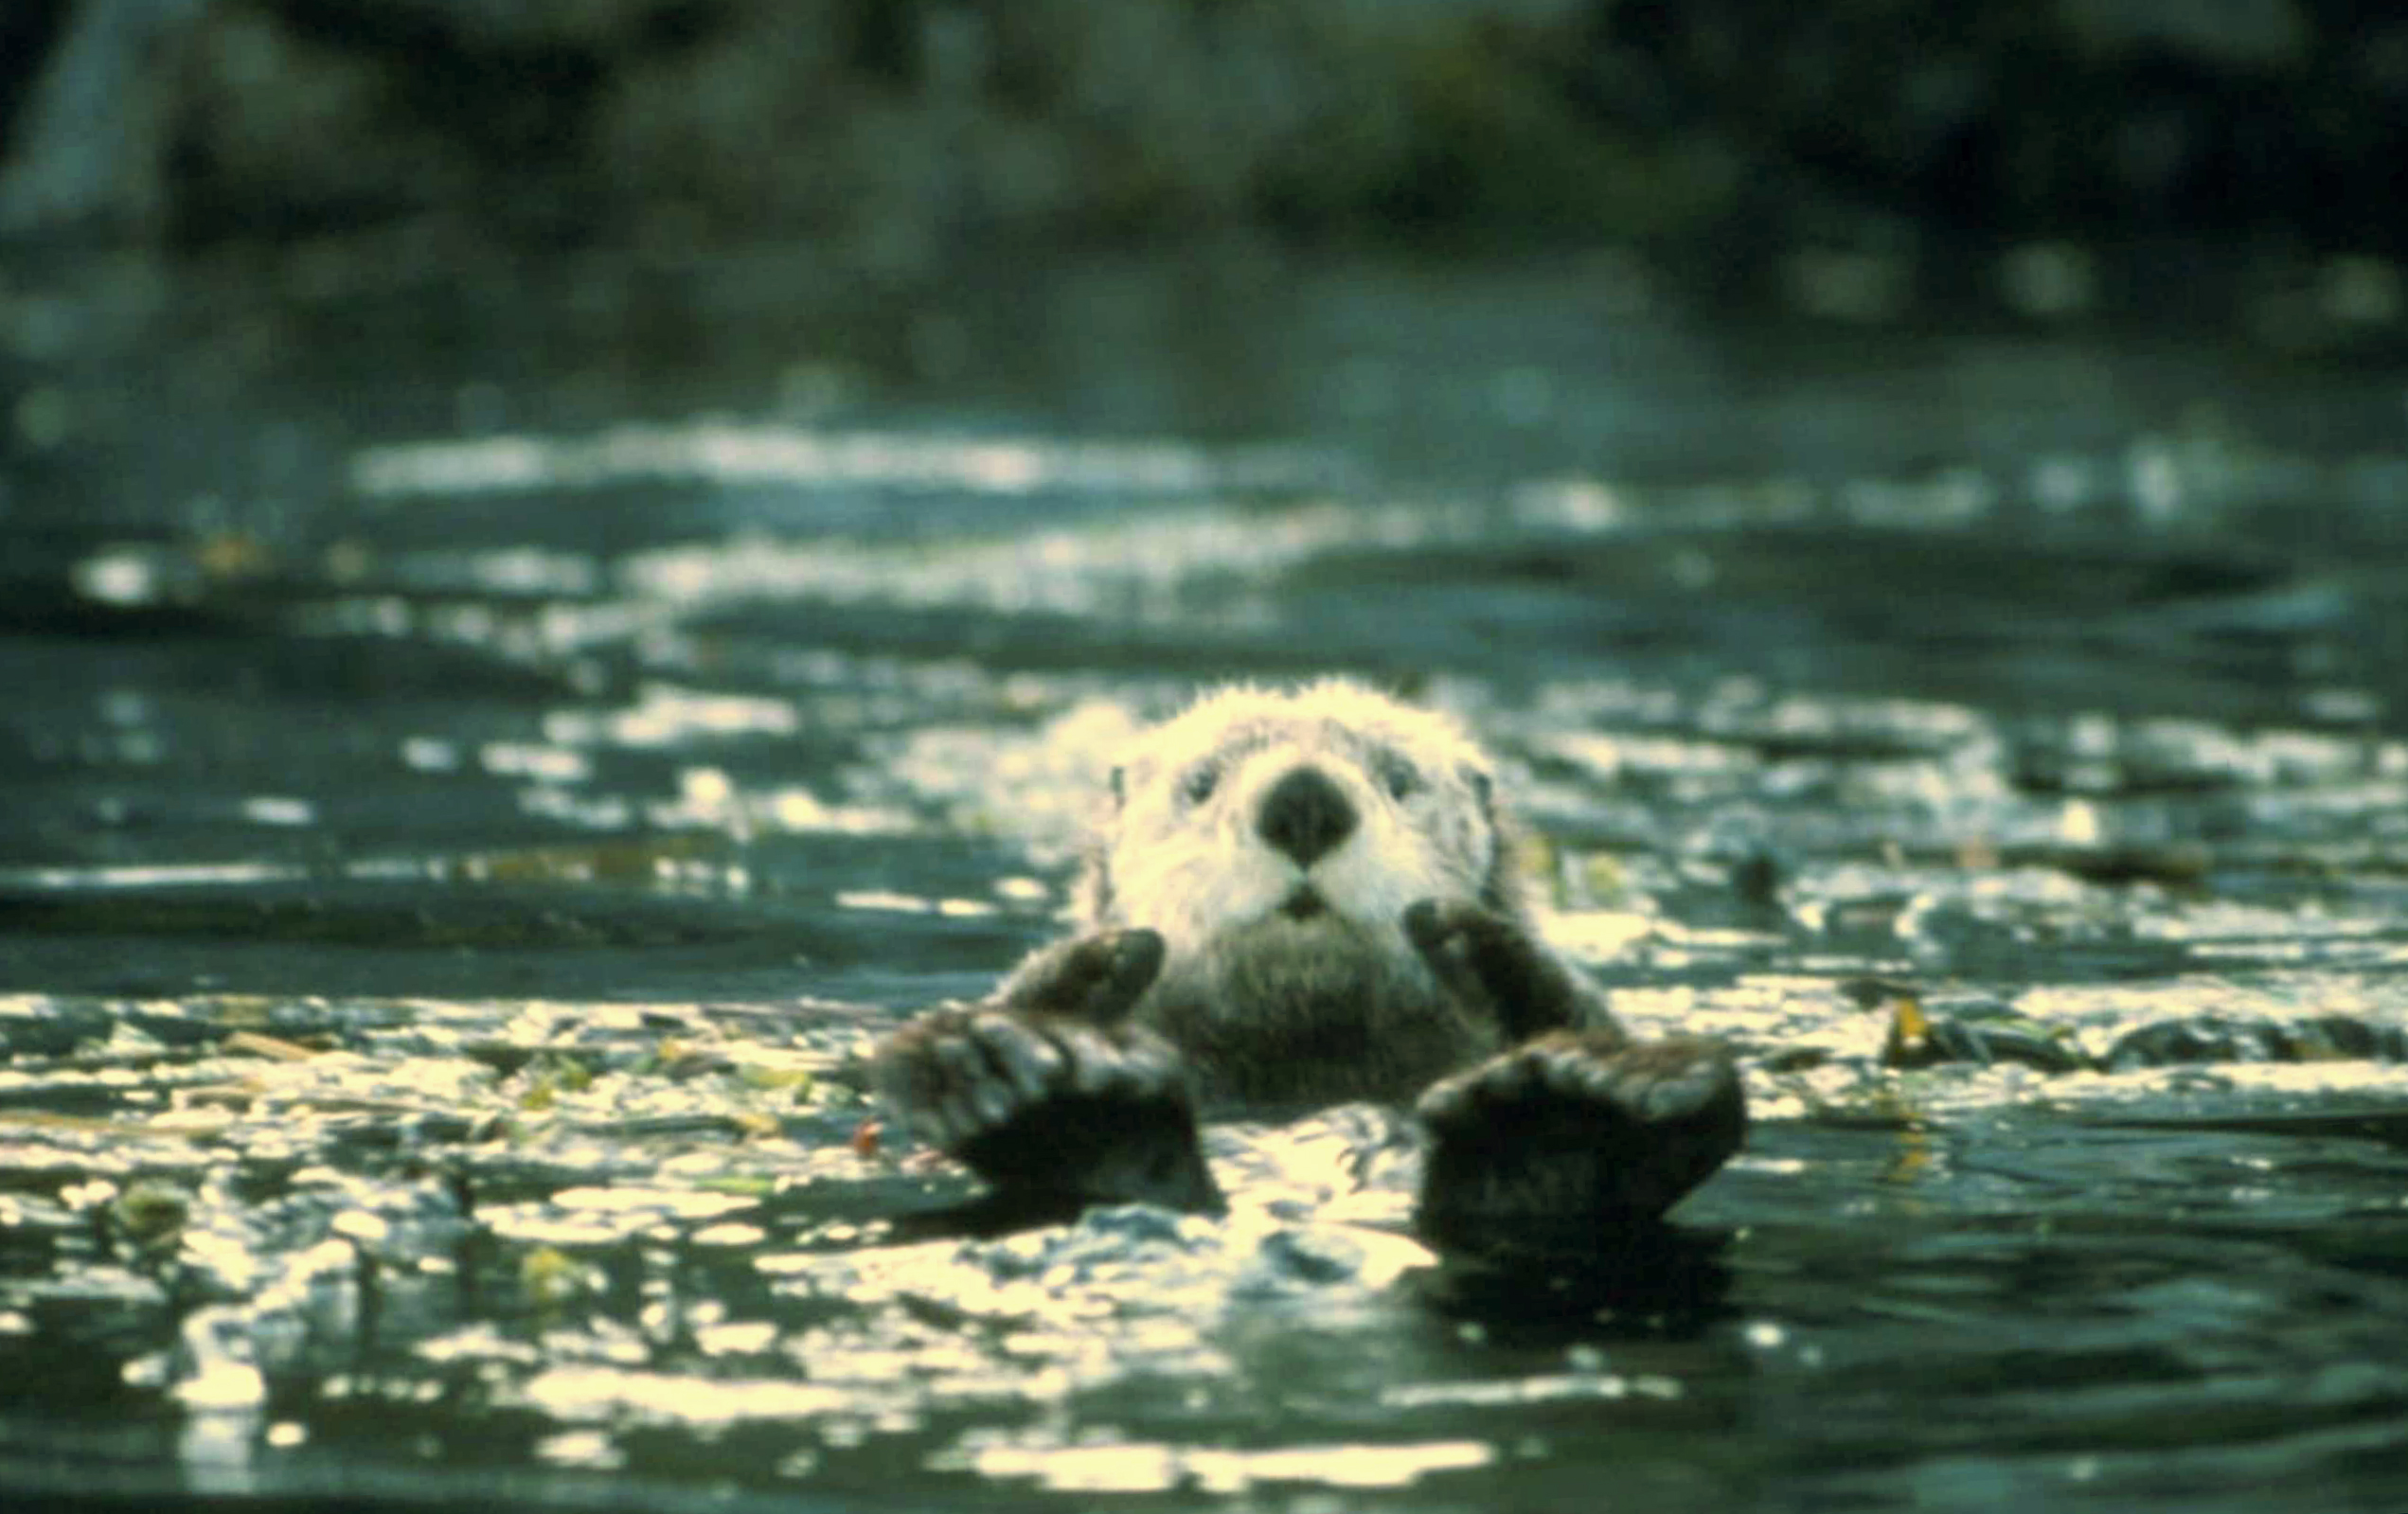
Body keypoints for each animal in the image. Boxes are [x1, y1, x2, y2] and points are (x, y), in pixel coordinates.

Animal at [876, 678, 1743, 1261]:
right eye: (1201, 783)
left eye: (1399, 779)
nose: (1303, 799)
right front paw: (1087, 973)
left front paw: (1489, 949)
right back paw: (1031, 1080)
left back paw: (1568, 1112)